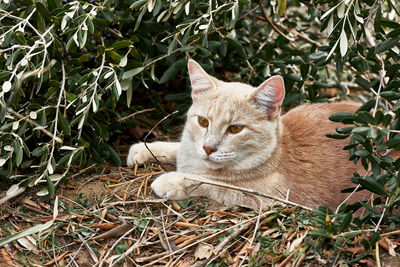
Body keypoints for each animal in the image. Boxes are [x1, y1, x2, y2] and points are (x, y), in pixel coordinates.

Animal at [127, 59, 366, 210]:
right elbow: (176, 148)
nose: (208, 148)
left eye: (235, 129)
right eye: (203, 121)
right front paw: (143, 150)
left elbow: (215, 184)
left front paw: (172, 180)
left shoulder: (273, 198)